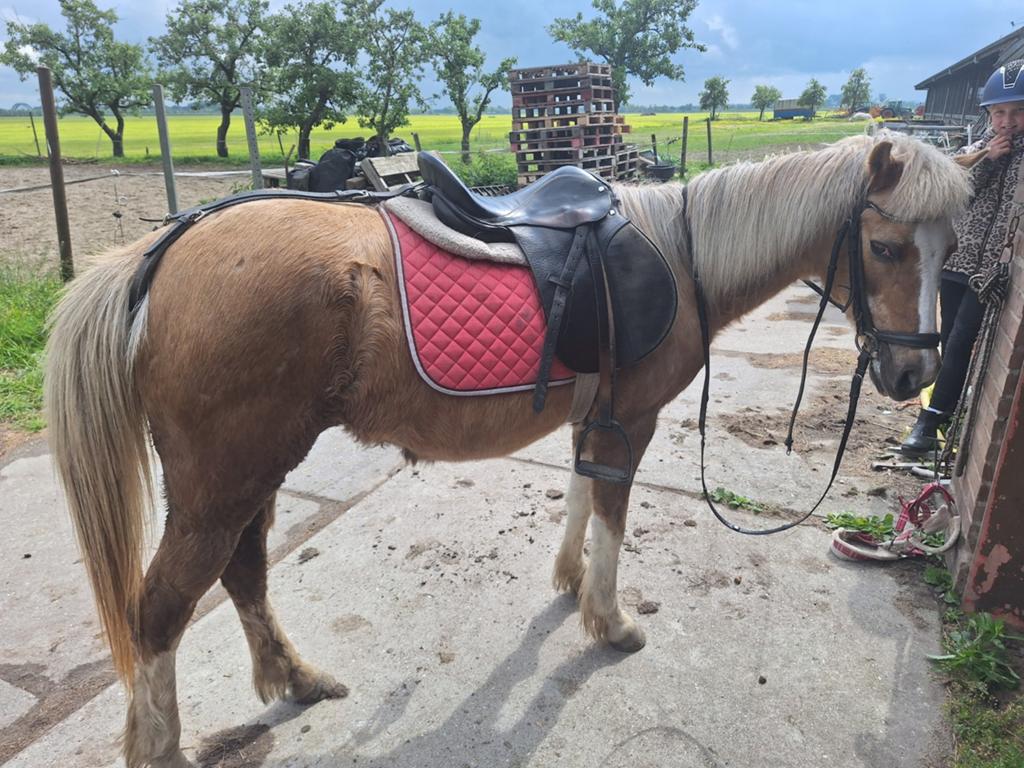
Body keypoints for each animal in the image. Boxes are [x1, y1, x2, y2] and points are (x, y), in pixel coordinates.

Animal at [44, 132, 976, 768]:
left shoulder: (592, 416)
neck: (680, 255)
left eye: (951, 250)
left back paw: (299, 679)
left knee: (242, 575)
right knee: (160, 610)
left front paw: (566, 583)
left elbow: (580, 494)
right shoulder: (631, 421)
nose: (914, 372)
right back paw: (166, 746)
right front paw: (609, 621)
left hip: (244, 476)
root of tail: (158, 256)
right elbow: (612, 517)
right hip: (222, 481)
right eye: (886, 247)